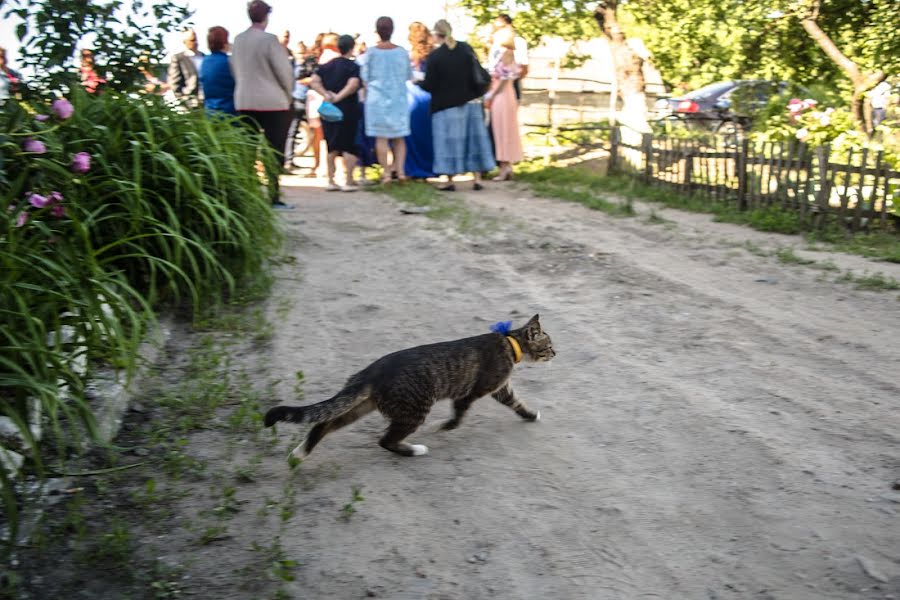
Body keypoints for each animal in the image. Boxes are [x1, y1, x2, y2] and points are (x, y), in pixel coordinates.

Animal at [264, 316, 552, 458]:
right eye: (549, 346)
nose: (556, 353)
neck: (510, 344)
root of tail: (373, 371)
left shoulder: (501, 389)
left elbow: (516, 403)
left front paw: (530, 415)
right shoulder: (475, 391)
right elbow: (458, 415)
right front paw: (444, 427)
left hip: (363, 406)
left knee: (324, 423)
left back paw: (299, 455)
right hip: (414, 409)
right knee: (385, 440)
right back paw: (414, 450)